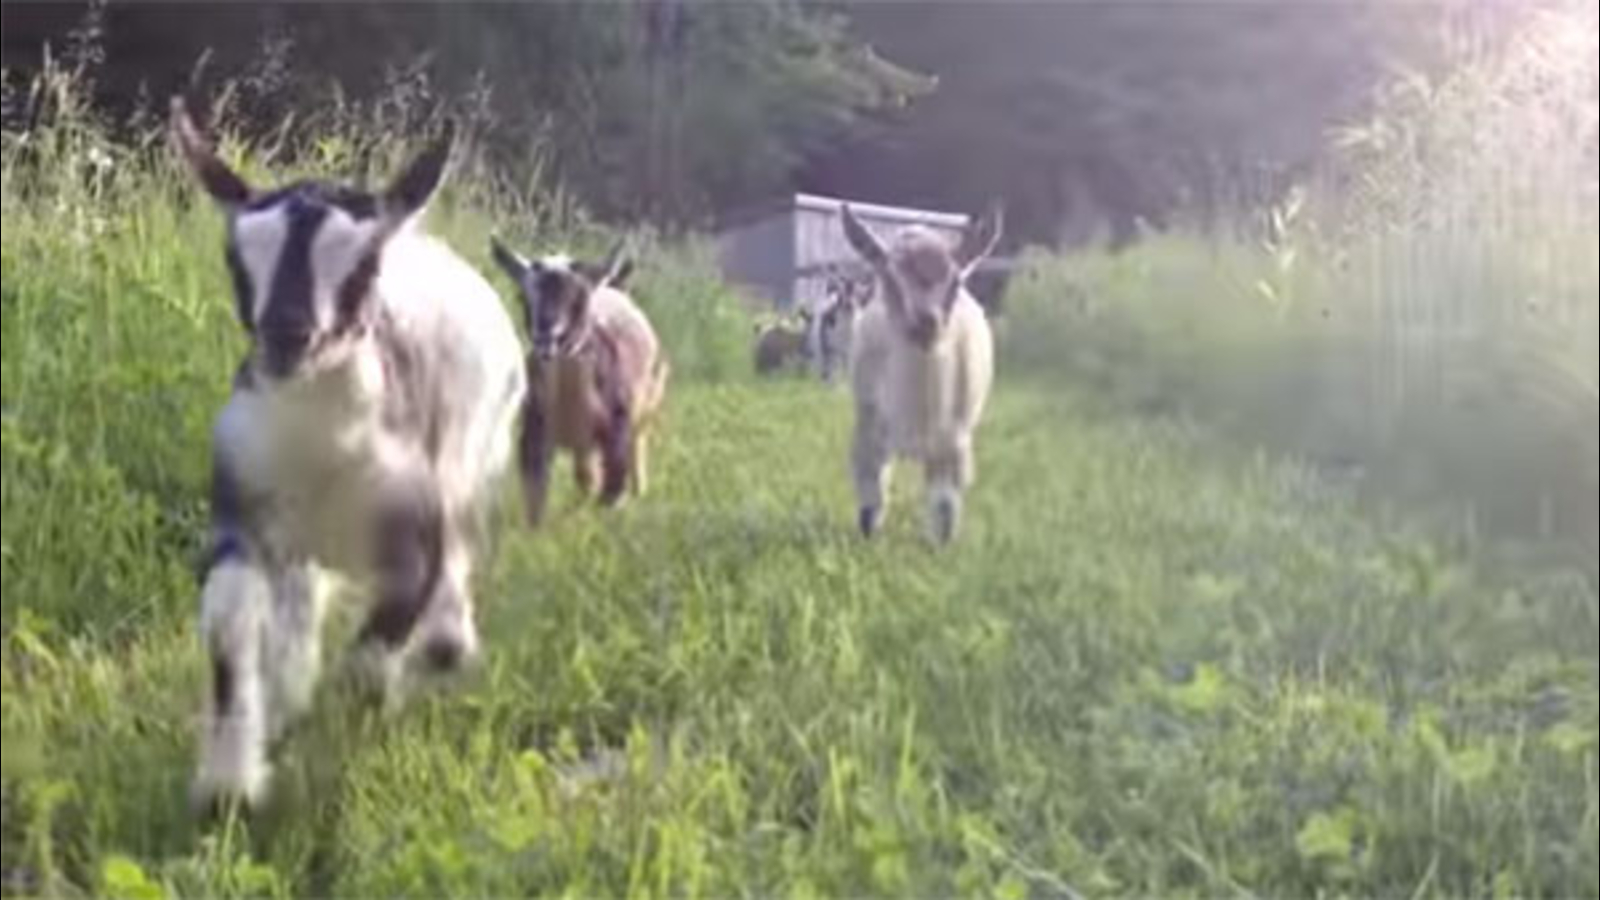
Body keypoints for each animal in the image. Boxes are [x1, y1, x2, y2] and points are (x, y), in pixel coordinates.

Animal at [171, 98, 527, 811]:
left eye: (364, 267)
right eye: (236, 260)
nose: (287, 334)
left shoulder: (415, 528)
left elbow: (367, 663)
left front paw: (338, 749)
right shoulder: (243, 509)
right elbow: (228, 621)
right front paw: (229, 785)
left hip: (474, 456)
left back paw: (444, 643)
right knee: (298, 600)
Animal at [490, 237, 669, 526]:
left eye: (579, 299)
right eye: (523, 297)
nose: (546, 341)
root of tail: (614, 286)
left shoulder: (616, 435)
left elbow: (610, 494)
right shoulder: (535, 434)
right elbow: (536, 501)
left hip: (646, 405)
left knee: (635, 452)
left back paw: (639, 491)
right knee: (586, 475)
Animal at [839, 203, 1002, 544]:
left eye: (955, 283)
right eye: (889, 277)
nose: (927, 323)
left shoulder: (952, 439)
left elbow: (944, 504)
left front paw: (941, 547)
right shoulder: (869, 423)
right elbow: (871, 494)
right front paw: (867, 537)